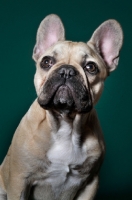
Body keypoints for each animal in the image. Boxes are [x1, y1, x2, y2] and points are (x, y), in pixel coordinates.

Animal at [0, 14, 123, 200]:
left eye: (91, 67)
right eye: (46, 62)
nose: (67, 70)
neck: (65, 124)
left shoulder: (90, 183)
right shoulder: (19, 180)